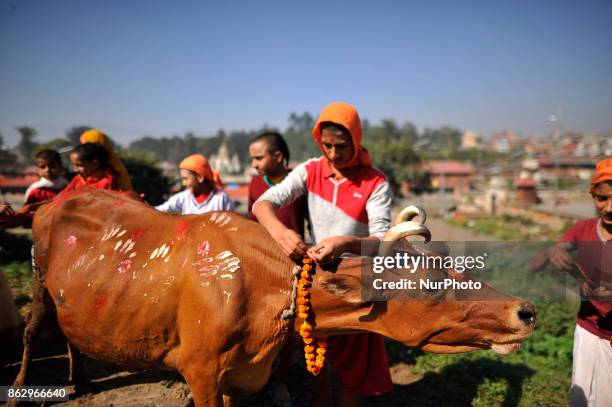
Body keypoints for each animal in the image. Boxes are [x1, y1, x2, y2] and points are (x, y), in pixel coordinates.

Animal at [10, 190, 536, 406]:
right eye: (429, 284)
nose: (526, 309)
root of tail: (54, 200)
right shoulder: (200, 371)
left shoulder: (233, 373)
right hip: (38, 285)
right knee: (34, 334)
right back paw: (21, 390)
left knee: (74, 336)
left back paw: (79, 380)